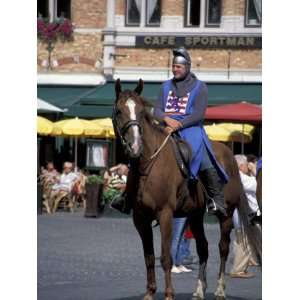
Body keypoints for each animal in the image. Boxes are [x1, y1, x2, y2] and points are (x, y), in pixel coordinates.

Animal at [113, 79, 260, 300]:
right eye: (119, 111)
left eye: (140, 111)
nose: (135, 147)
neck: (148, 164)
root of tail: (230, 155)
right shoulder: (140, 218)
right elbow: (149, 257)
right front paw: (150, 292)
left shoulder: (165, 214)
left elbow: (166, 256)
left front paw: (168, 294)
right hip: (195, 215)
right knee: (203, 248)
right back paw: (199, 289)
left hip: (226, 215)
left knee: (223, 248)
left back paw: (219, 289)